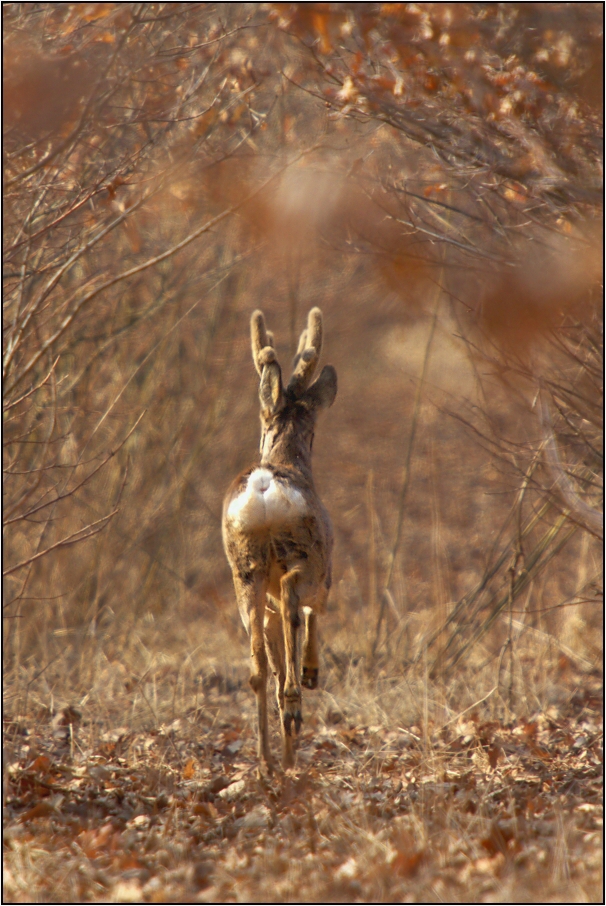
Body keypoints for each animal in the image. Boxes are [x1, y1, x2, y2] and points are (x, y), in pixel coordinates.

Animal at [223, 308, 338, 768]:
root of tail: (265, 485)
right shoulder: (326, 576)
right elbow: (314, 616)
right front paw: (311, 673)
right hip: (304, 556)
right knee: (294, 605)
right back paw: (294, 709)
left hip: (245, 570)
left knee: (257, 672)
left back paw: (268, 760)